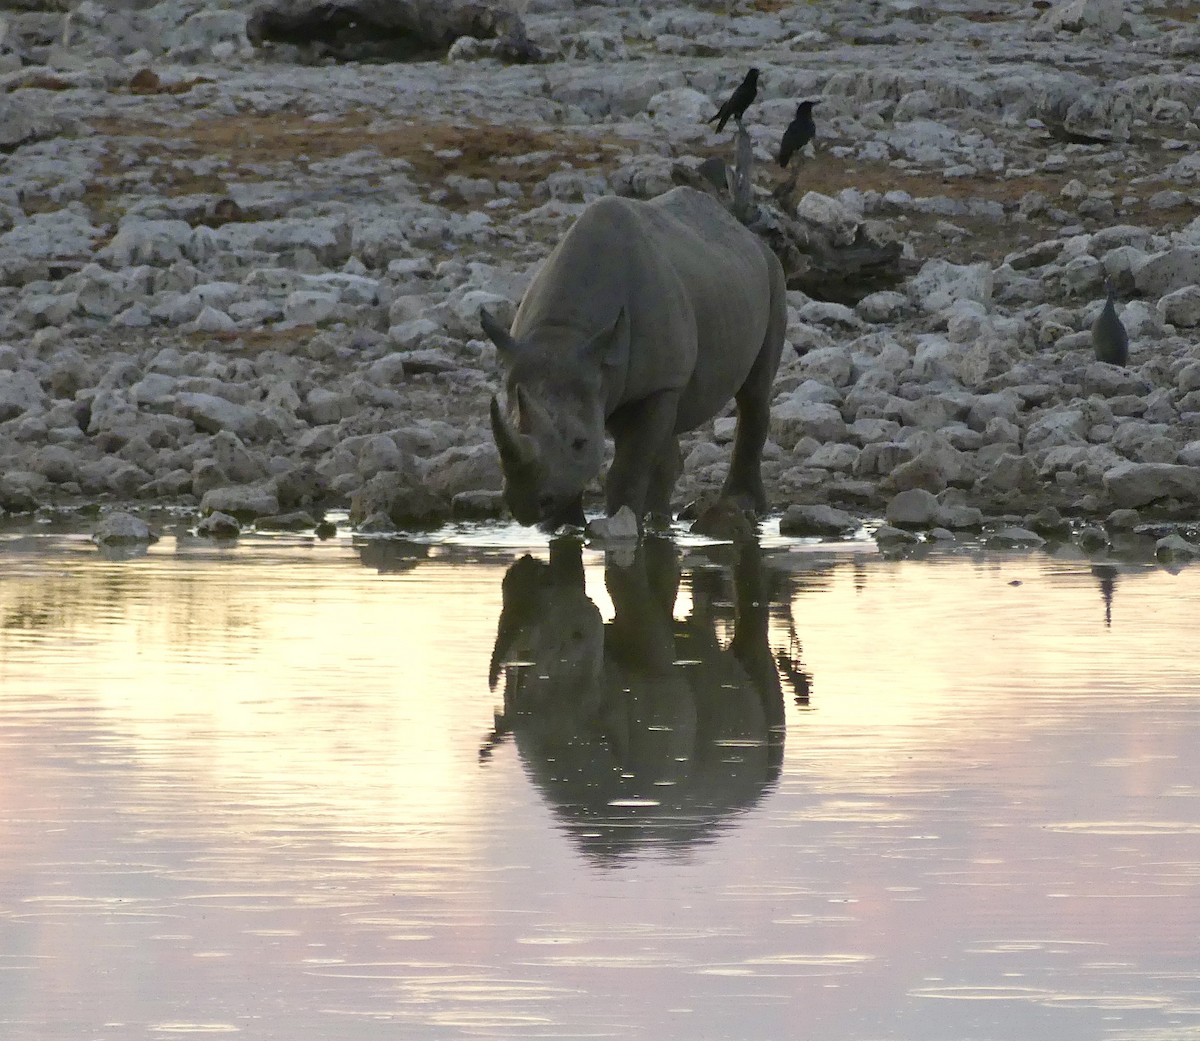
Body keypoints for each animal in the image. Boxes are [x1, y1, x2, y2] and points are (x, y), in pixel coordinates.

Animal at [481, 185, 788, 531]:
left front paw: (621, 523)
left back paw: (743, 506)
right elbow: (577, 472)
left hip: (772, 274)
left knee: (754, 393)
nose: (525, 506)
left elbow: (627, 469)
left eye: (579, 442)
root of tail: (747, 234)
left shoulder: (660, 384)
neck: (566, 332)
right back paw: (660, 521)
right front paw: (562, 529)